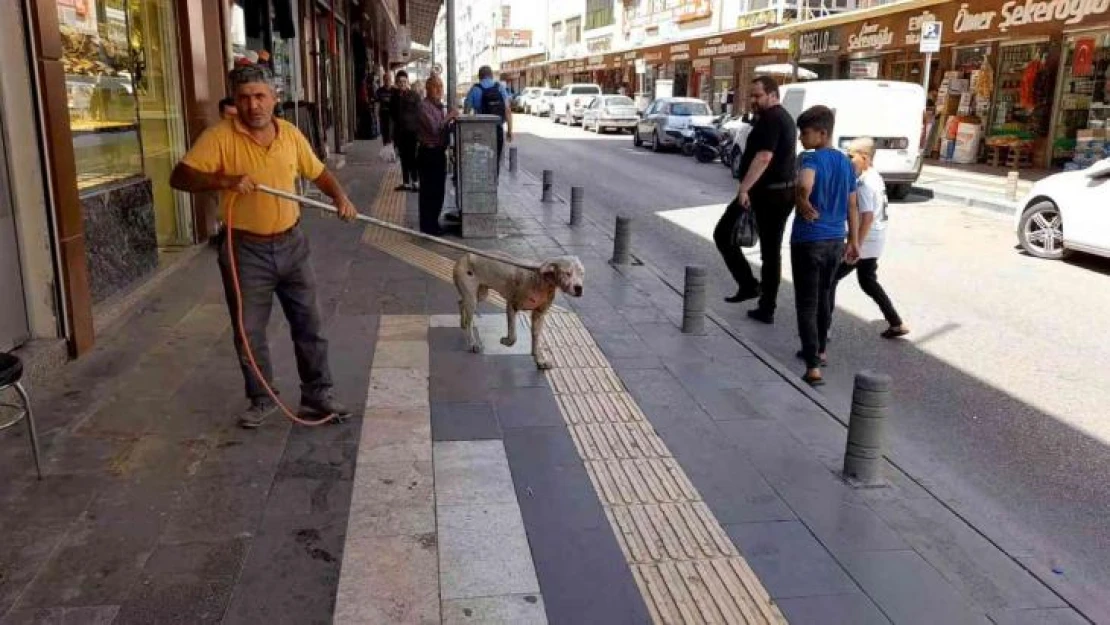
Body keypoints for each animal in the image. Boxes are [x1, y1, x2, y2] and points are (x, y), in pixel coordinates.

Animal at [452, 254, 590, 368]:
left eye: (582, 273)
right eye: (567, 273)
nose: (579, 288)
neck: (541, 281)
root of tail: (464, 256)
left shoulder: (539, 314)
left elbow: (536, 338)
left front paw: (539, 360)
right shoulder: (512, 306)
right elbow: (513, 337)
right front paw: (506, 341)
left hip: (481, 294)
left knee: (460, 302)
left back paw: (462, 322)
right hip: (472, 298)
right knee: (469, 320)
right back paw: (472, 342)